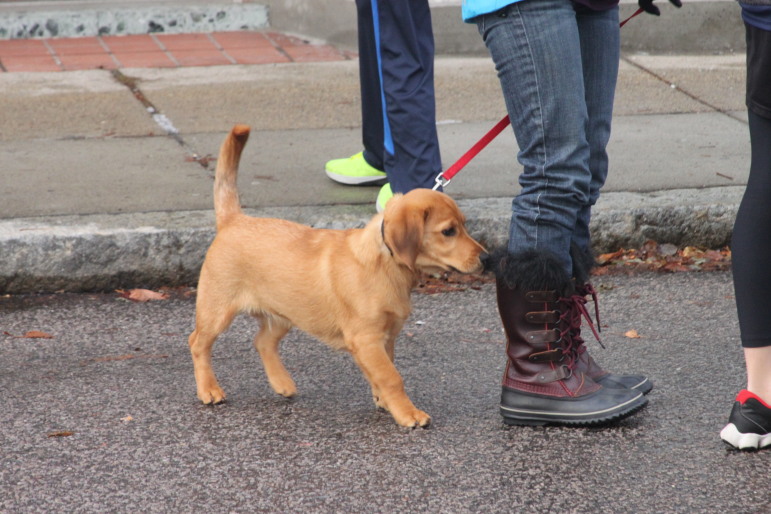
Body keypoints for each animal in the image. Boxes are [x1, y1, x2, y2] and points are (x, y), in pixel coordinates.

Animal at [189, 125, 486, 428]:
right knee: (197, 342)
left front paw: (385, 401)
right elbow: (392, 376)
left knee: (262, 342)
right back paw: (209, 389)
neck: (386, 265)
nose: (487, 258)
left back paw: (282, 383)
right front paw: (407, 413)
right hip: (216, 310)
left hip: (286, 312)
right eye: (448, 231)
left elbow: (382, 372)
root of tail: (234, 219)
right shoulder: (367, 338)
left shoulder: (385, 337)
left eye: (464, 226)